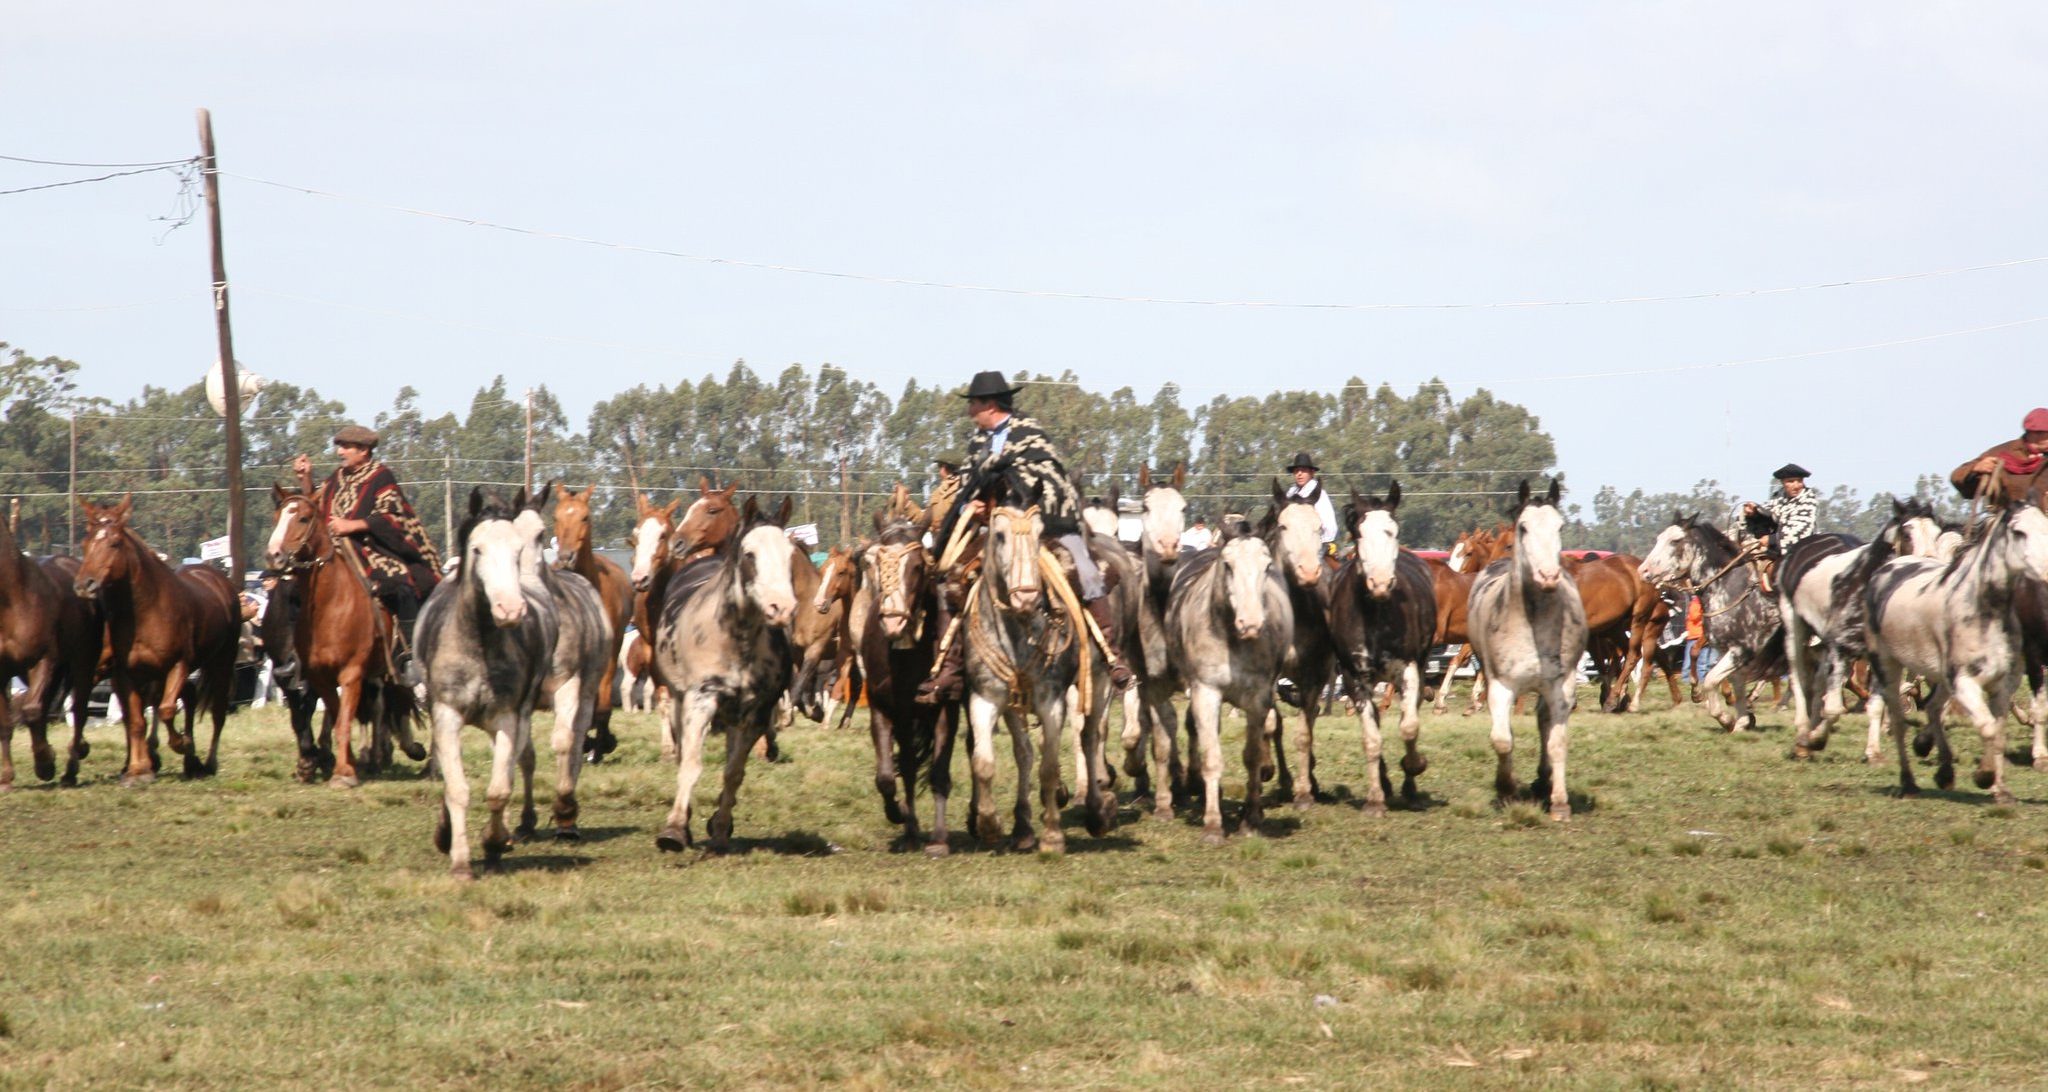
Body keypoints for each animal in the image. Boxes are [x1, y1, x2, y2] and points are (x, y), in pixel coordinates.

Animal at [72, 493, 237, 782]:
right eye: (85, 543)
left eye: (114, 543)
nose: (85, 584)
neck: (147, 610)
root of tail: (219, 579)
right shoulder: (125, 672)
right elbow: (136, 719)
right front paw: (138, 769)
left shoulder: (177, 664)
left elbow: (166, 709)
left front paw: (180, 744)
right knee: (188, 697)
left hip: (222, 662)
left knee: (216, 711)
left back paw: (207, 761)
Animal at [264, 485, 428, 782]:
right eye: (276, 518)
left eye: (303, 518)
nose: (275, 555)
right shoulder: (311, 675)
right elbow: (314, 715)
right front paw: (314, 761)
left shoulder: (350, 671)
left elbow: (342, 717)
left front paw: (338, 768)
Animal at [552, 481, 630, 762]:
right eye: (555, 517)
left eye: (585, 517)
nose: (566, 557)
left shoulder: (610, 650)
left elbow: (603, 700)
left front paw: (599, 745)